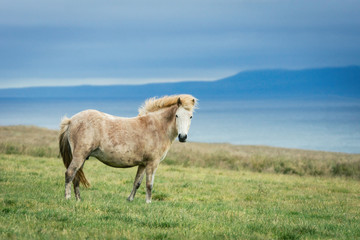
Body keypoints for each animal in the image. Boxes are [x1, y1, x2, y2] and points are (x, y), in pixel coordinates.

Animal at [58, 94, 197, 203]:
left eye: (190, 116)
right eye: (177, 116)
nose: (183, 137)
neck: (157, 127)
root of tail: (71, 120)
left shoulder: (143, 164)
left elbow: (137, 183)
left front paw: (130, 199)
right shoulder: (152, 163)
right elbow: (149, 184)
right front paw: (148, 202)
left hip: (82, 158)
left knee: (77, 176)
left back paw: (78, 199)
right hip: (79, 156)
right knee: (70, 173)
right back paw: (68, 198)